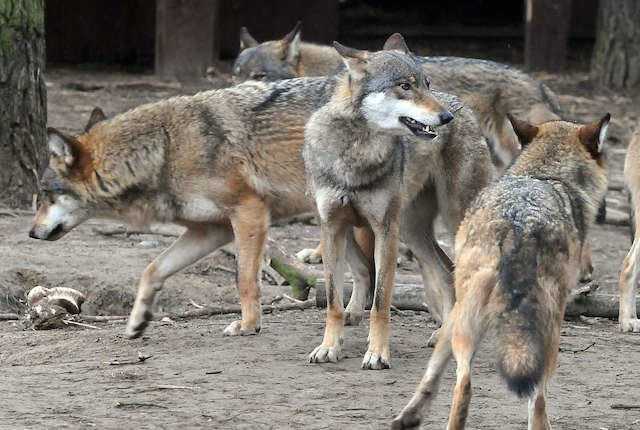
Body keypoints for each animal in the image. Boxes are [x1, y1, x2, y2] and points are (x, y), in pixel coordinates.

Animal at [304, 41, 496, 370]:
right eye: (405, 86)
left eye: (426, 84)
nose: (446, 117)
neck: (357, 151)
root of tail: (461, 104)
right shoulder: (331, 229)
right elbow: (332, 300)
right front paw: (328, 348)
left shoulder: (385, 231)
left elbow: (381, 302)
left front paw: (377, 354)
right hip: (411, 232)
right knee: (446, 272)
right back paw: (442, 336)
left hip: (450, 223)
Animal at [390, 114, 608, 430]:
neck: (545, 175)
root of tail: (517, 227)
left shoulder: (455, 313)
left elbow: (432, 372)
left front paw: (410, 415)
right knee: (530, 397)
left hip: (484, 327)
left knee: (469, 384)